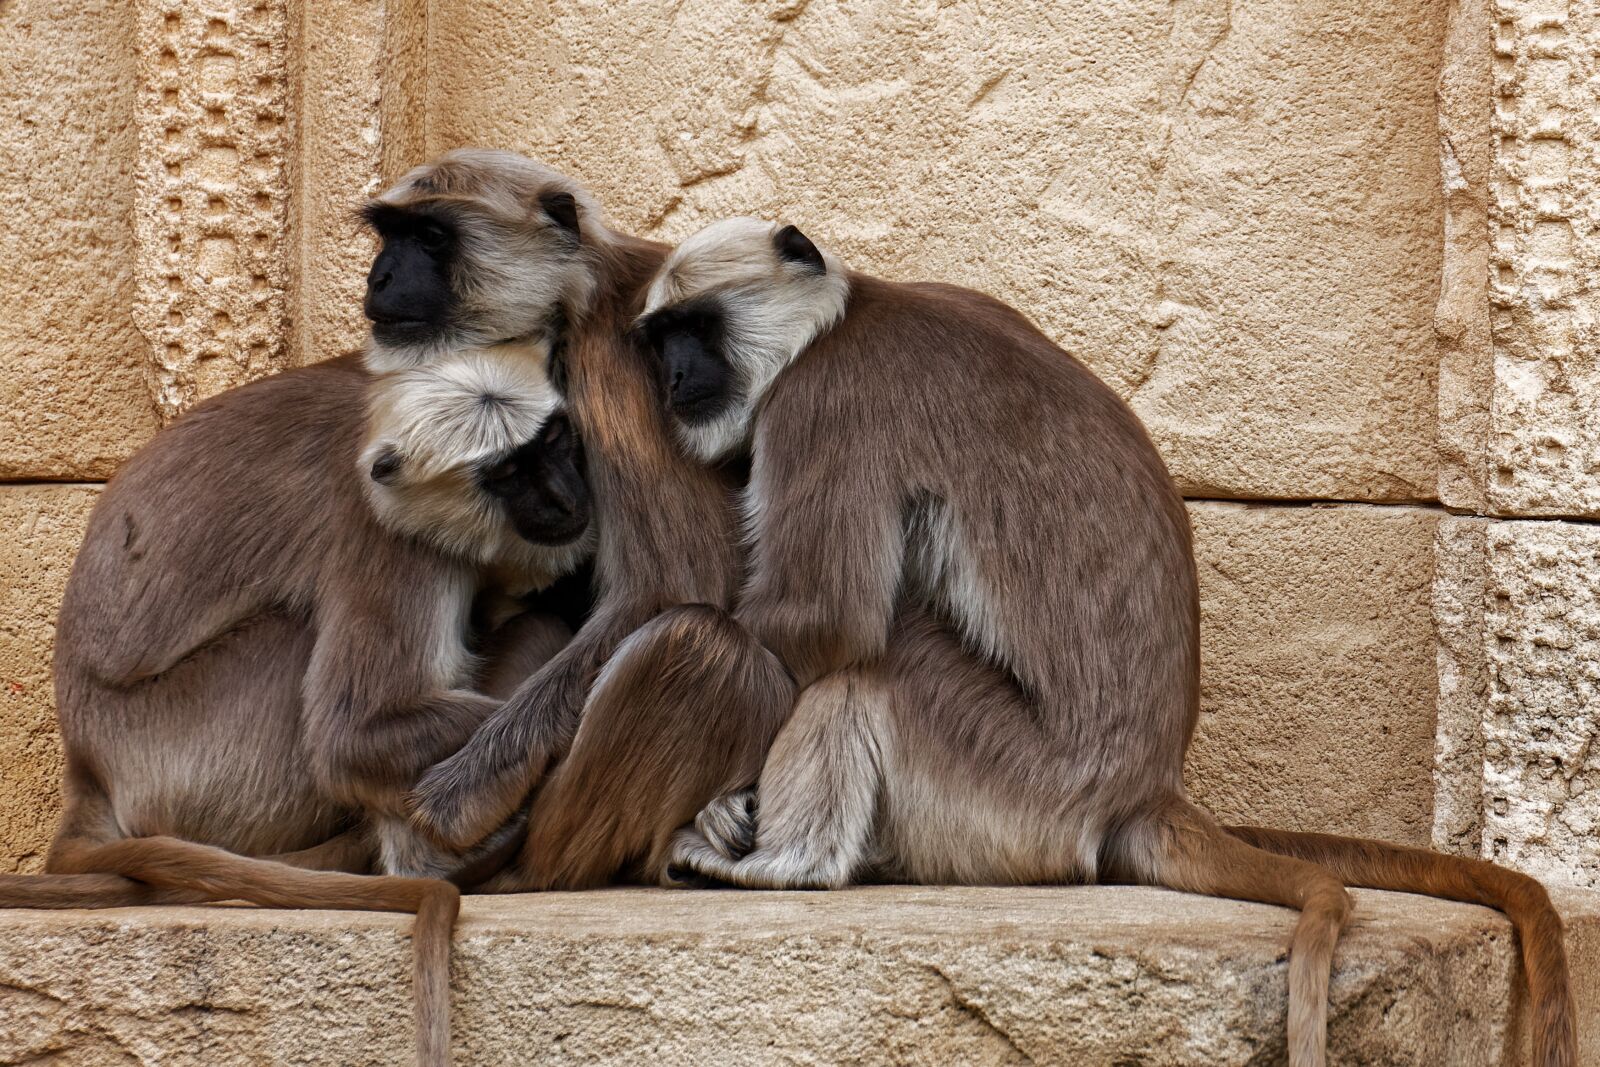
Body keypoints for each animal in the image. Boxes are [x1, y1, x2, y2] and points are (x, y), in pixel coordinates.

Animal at [627, 218, 1575, 1067]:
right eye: (658, 341)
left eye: (693, 330)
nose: (672, 378)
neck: (849, 314)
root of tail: (1144, 788)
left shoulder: (831, 400)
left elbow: (829, 620)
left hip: (1017, 791)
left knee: (880, 661)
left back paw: (784, 869)